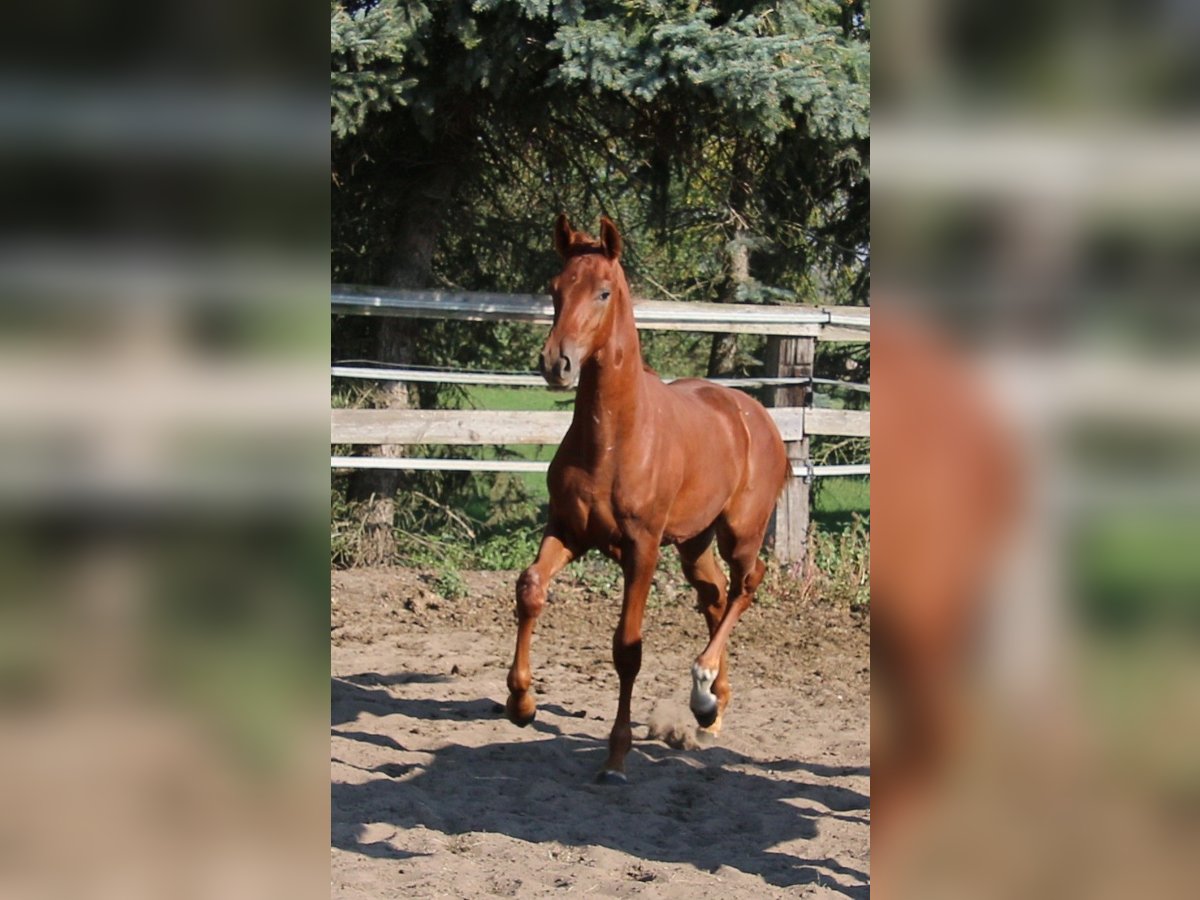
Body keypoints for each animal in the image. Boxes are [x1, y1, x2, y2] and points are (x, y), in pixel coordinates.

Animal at [504, 214, 792, 787]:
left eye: (603, 291)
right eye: (554, 288)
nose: (556, 363)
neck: (615, 440)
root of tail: (757, 416)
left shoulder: (642, 550)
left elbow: (627, 648)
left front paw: (616, 757)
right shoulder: (567, 530)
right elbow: (530, 590)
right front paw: (521, 703)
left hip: (740, 532)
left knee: (747, 584)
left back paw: (703, 682)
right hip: (694, 543)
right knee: (715, 595)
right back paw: (711, 707)